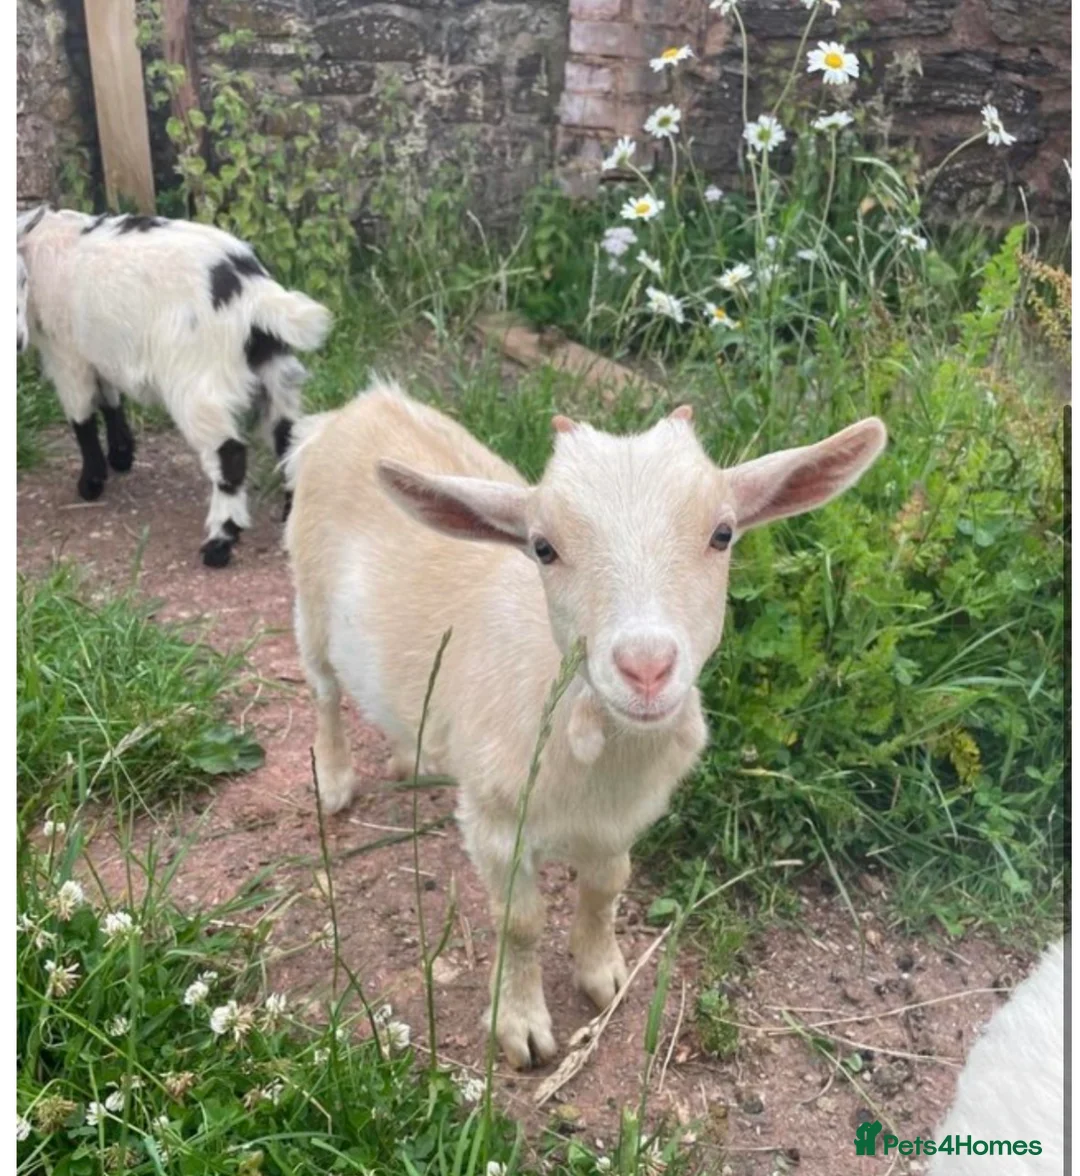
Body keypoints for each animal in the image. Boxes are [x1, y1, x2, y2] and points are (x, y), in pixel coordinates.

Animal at [16, 205, 332, 567]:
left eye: (20, 281)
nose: (16, 341)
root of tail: (252, 291)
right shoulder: (100, 351)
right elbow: (110, 399)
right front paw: (121, 455)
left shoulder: (67, 356)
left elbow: (81, 416)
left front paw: (91, 483)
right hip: (275, 372)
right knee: (288, 437)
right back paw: (290, 516)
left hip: (197, 383)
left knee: (230, 454)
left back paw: (220, 542)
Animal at [284, 378, 886, 1068]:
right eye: (544, 548)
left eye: (723, 533)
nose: (646, 667)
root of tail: (360, 405)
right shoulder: (496, 823)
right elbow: (519, 923)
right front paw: (520, 1025)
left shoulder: (622, 818)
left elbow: (606, 889)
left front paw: (602, 974)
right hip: (309, 600)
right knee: (324, 690)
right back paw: (333, 780)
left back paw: (417, 756)